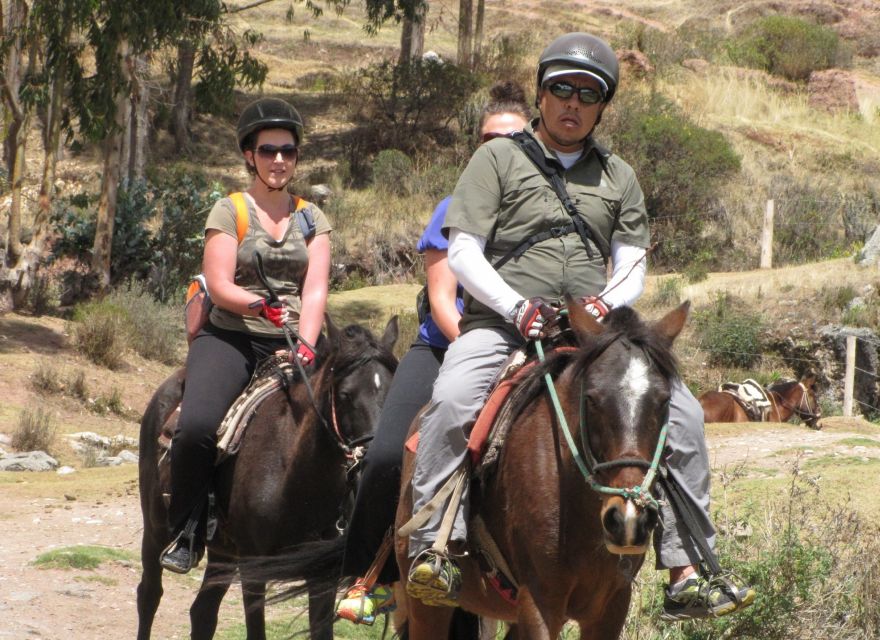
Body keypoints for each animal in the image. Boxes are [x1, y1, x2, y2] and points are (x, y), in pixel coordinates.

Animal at [138, 316, 398, 640]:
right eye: (345, 394)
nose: (377, 463)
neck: (297, 478)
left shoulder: (321, 577)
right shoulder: (253, 568)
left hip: (223, 551)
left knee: (202, 612)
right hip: (156, 528)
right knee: (149, 595)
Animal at [396, 302, 692, 640]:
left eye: (664, 400)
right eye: (591, 399)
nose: (629, 520)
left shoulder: (612, 603)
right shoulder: (539, 602)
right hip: (427, 606)